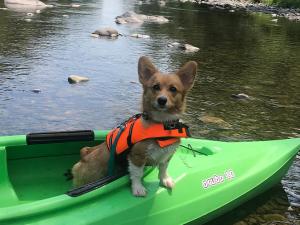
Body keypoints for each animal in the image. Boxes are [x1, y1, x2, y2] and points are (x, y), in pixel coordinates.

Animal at [70, 56, 197, 197]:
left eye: (173, 89)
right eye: (156, 87)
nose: (162, 100)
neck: (162, 125)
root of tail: (85, 156)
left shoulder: (167, 155)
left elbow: (163, 169)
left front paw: (165, 180)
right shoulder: (137, 157)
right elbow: (137, 174)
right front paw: (138, 188)